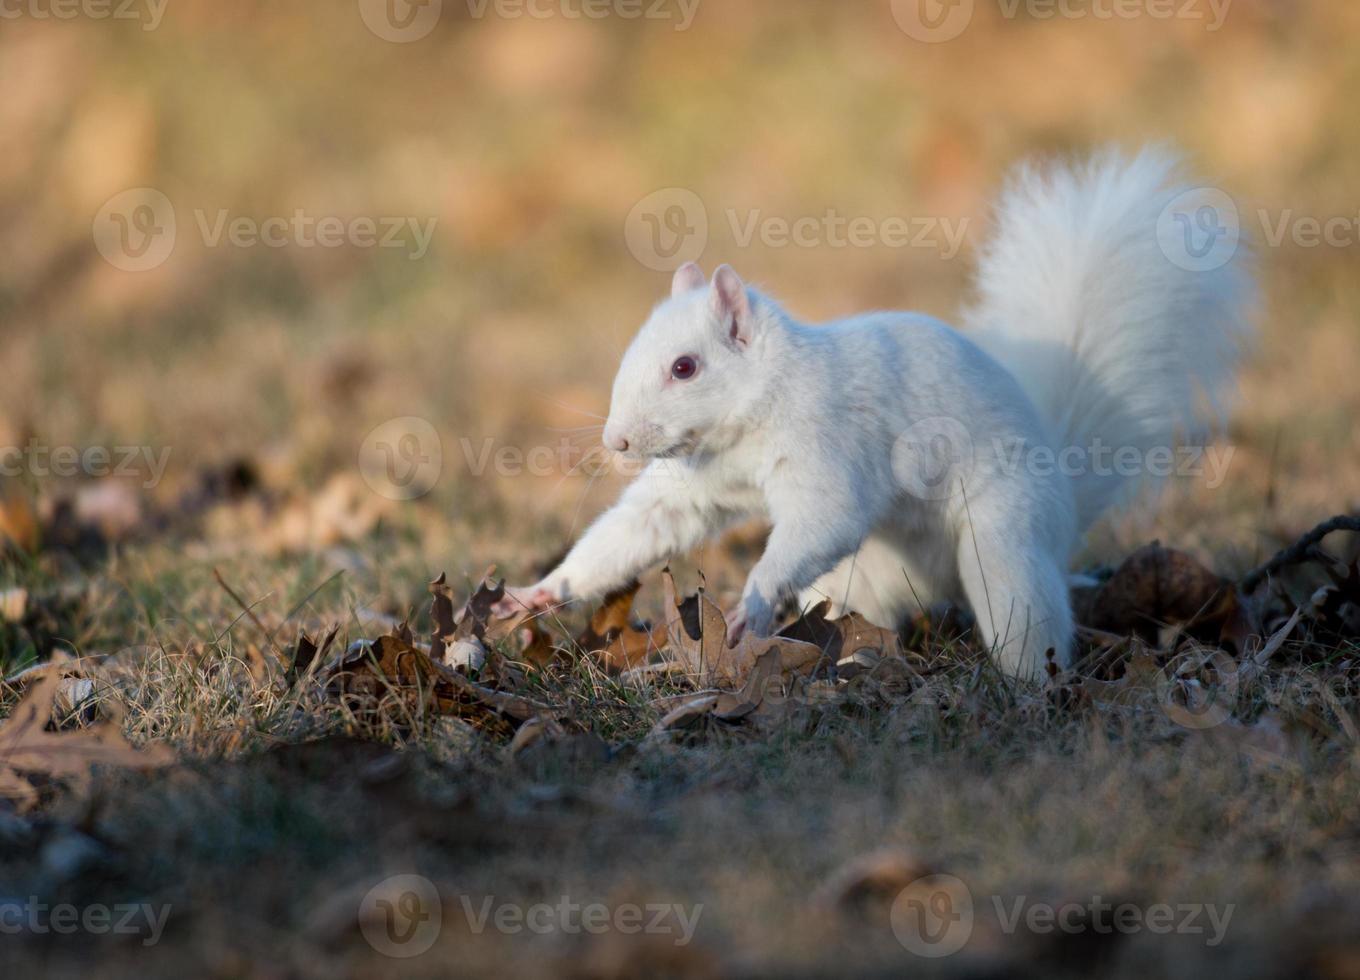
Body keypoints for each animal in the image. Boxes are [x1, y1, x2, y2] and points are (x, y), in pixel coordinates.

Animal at [495, 148, 1256, 680]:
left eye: (685, 367)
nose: (617, 440)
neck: (749, 420)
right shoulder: (699, 483)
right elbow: (642, 529)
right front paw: (538, 592)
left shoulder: (827, 445)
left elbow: (827, 514)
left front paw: (752, 602)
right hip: (860, 582)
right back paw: (854, 664)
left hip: (1006, 540)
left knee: (1022, 612)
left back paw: (1028, 688)